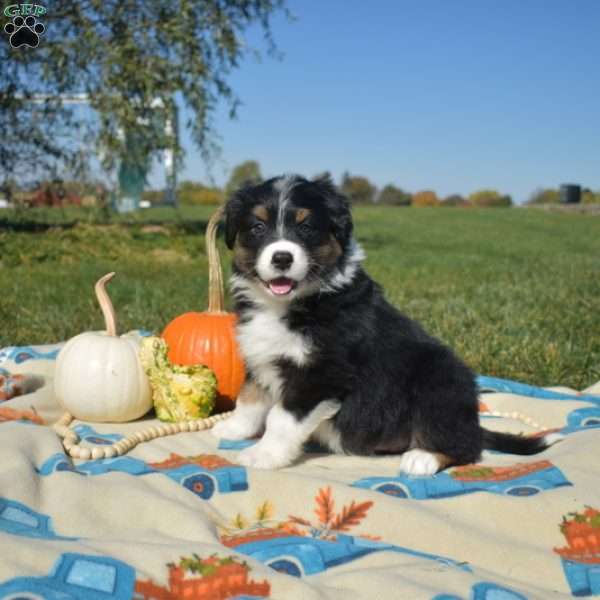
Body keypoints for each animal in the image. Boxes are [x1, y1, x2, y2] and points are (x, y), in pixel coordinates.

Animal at [212, 173, 556, 474]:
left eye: (306, 227)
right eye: (257, 226)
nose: (282, 258)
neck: (292, 302)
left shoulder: (322, 373)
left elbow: (281, 418)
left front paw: (262, 455)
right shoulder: (260, 356)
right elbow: (250, 399)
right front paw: (231, 428)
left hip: (439, 383)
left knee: (467, 446)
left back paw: (424, 457)